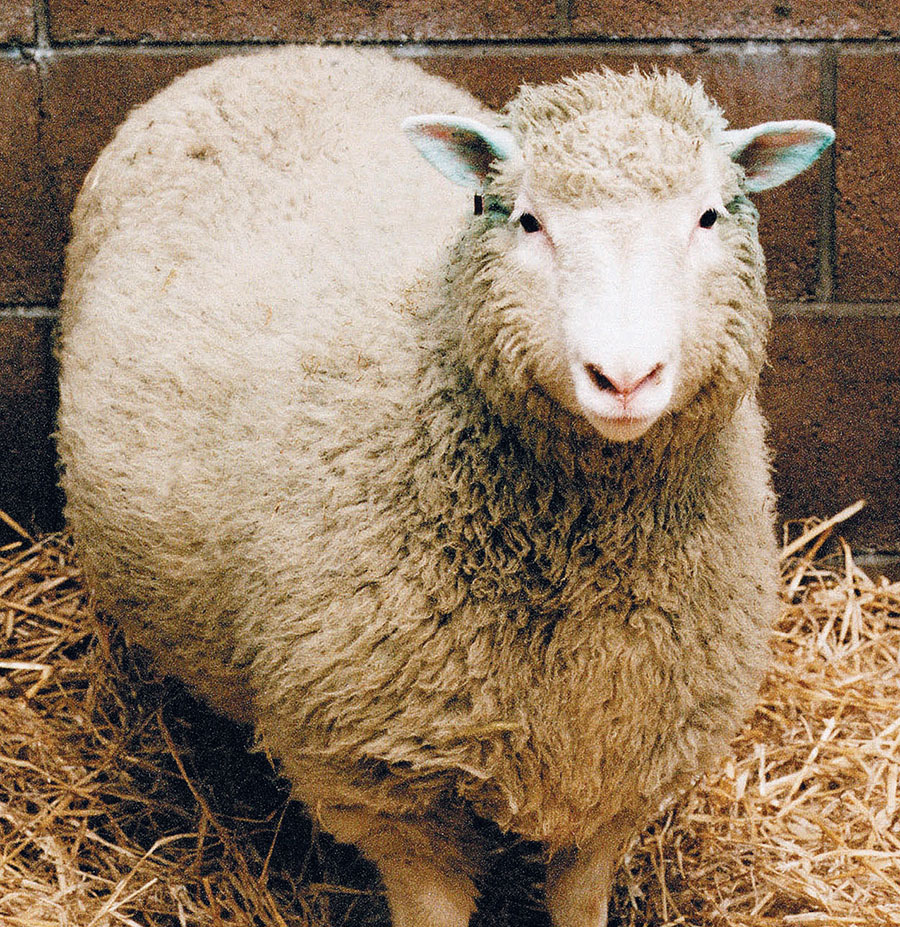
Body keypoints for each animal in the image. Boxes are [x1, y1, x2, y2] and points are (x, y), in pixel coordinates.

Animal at [56, 47, 836, 927]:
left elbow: (580, 895)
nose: (624, 376)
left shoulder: (620, 761)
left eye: (707, 217)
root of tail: (271, 54)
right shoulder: (391, 786)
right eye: (526, 220)